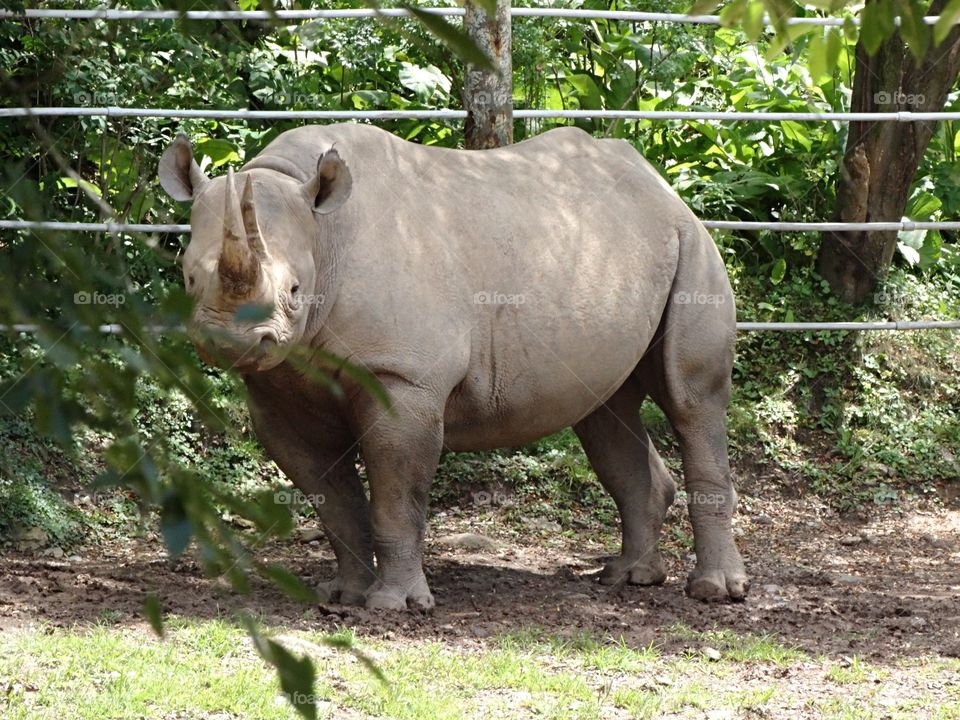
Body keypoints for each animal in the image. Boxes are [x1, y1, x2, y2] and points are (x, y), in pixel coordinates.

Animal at [158, 123, 748, 610]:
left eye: (295, 291)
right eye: (188, 278)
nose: (230, 341)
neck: (323, 234)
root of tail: (662, 188)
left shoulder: (402, 375)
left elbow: (396, 496)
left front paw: (392, 605)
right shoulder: (278, 386)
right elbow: (333, 500)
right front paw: (343, 594)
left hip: (693, 246)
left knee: (691, 400)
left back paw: (714, 591)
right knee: (605, 411)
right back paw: (628, 578)